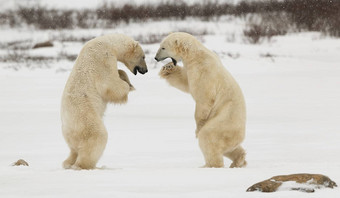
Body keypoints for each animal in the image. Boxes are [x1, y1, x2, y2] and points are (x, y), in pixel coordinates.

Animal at [61, 33, 147, 169]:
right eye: (143, 56)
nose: (145, 70)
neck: (109, 43)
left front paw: (125, 78)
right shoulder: (103, 58)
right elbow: (109, 84)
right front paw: (128, 86)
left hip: (71, 132)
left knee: (73, 149)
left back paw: (68, 163)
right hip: (86, 117)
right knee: (98, 136)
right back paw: (85, 165)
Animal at [155, 31, 246, 168]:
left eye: (163, 47)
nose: (156, 58)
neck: (195, 55)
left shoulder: (203, 70)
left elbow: (204, 98)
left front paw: (197, 129)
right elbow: (185, 82)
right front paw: (168, 68)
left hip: (224, 122)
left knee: (209, 137)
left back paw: (209, 165)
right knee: (229, 148)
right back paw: (239, 160)